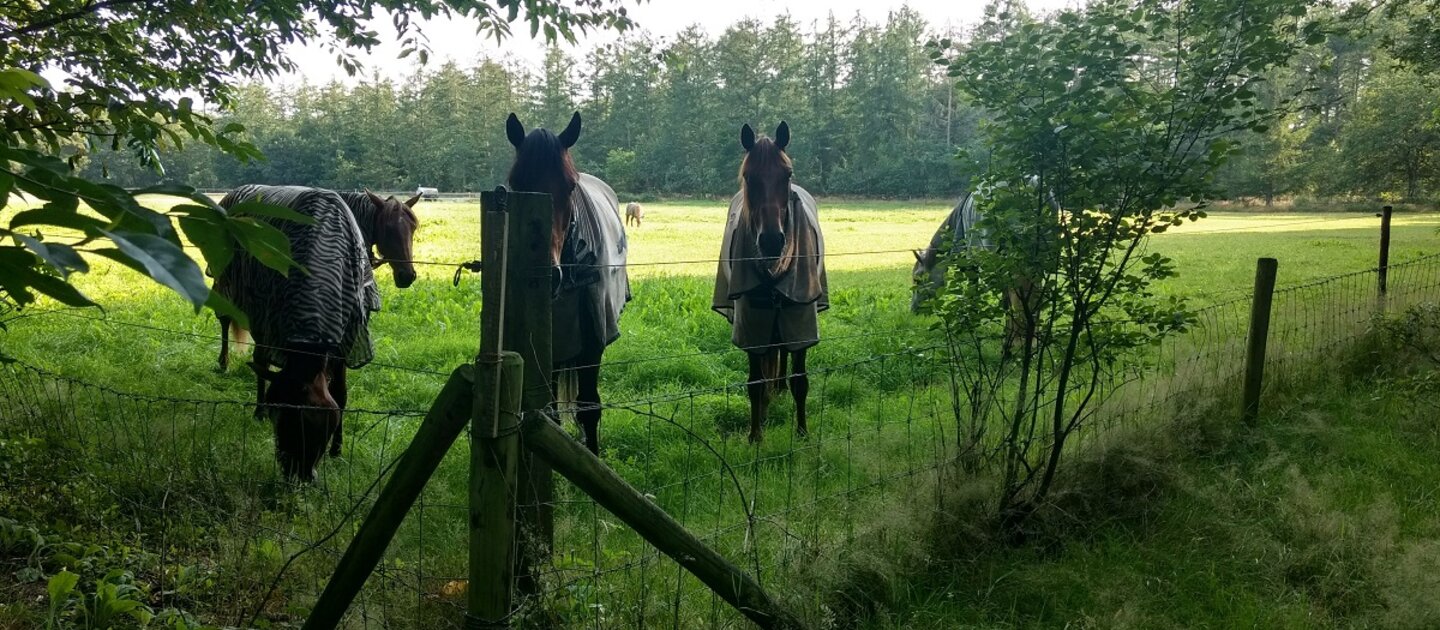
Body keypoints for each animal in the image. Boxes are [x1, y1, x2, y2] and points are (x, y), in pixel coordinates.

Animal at [210, 184, 420, 480]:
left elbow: (341, 394)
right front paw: (261, 410)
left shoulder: (347, 336)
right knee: (229, 325)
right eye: (388, 228)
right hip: (232, 288)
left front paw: (338, 449)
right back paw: (226, 365)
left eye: (413, 227)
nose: (406, 276)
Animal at [506, 109, 630, 451]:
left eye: (571, 187)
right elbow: (547, 409)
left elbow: (589, 407)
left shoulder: (593, 342)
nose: (548, 276)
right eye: (515, 184)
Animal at [711, 121, 829, 443]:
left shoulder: (800, 316)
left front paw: (802, 433)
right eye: (748, 176)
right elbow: (755, 381)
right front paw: (755, 435)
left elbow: (800, 379)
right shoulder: (752, 323)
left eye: (786, 174)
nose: (772, 240)